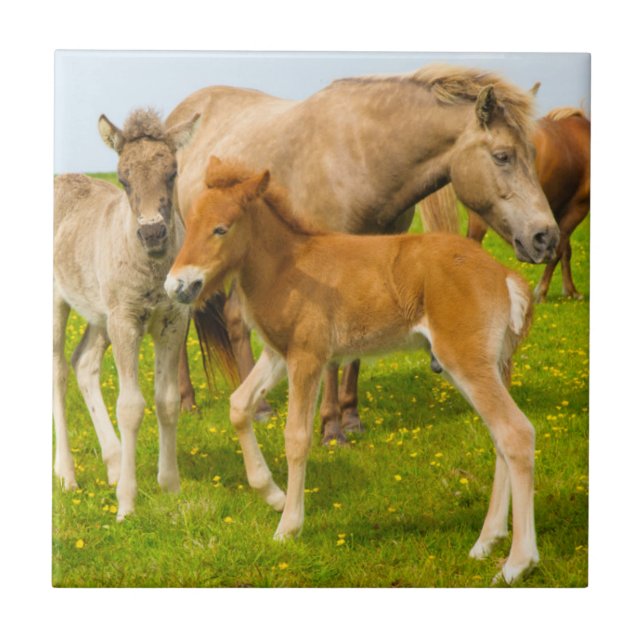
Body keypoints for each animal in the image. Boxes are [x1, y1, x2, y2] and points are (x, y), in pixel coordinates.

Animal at [53, 108, 200, 520]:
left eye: (172, 173)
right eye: (123, 178)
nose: (152, 234)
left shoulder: (173, 320)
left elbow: (167, 401)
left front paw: (170, 486)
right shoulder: (125, 321)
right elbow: (132, 406)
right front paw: (127, 504)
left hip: (98, 315)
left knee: (83, 362)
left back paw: (115, 463)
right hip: (60, 304)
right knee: (58, 370)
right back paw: (68, 474)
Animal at [164, 157, 540, 584]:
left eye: (221, 229)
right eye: (190, 225)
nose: (176, 285)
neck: (288, 265)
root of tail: (505, 276)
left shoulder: (308, 357)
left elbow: (296, 438)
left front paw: (288, 526)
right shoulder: (278, 354)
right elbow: (239, 405)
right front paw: (272, 494)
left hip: (466, 362)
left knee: (515, 433)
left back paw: (517, 562)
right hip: (485, 366)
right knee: (500, 439)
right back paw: (487, 542)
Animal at [166, 64, 558, 444]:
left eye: (534, 153)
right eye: (502, 156)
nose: (546, 238)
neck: (362, 157)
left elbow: (353, 355)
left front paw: (351, 418)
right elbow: (330, 361)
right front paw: (331, 428)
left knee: (234, 318)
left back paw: (257, 405)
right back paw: (187, 402)